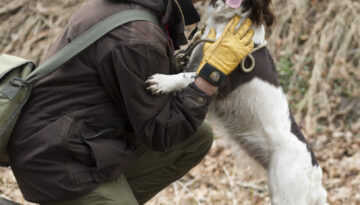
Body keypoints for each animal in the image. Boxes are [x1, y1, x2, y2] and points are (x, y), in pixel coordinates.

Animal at [146, 0, 330, 204]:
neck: (226, 22)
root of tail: (318, 184)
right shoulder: (195, 58)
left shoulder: (220, 81)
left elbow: (191, 77)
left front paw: (162, 82)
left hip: (287, 193)